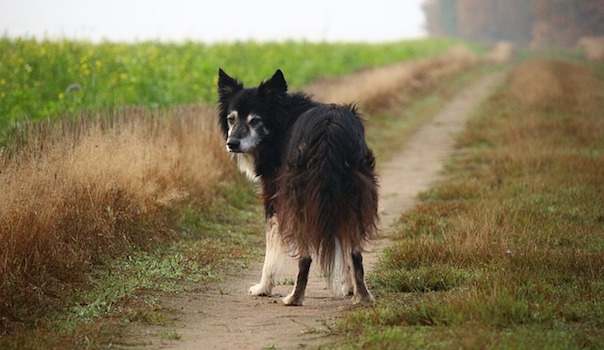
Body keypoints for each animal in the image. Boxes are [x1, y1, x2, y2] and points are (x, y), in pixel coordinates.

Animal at [217, 69, 378, 306]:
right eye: (231, 119)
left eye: (255, 121)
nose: (232, 144)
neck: (281, 121)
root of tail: (328, 129)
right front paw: (348, 288)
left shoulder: (274, 199)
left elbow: (271, 248)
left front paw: (263, 288)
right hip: (353, 196)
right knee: (355, 251)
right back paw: (363, 296)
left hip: (298, 201)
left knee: (305, 256)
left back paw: (294, 297)